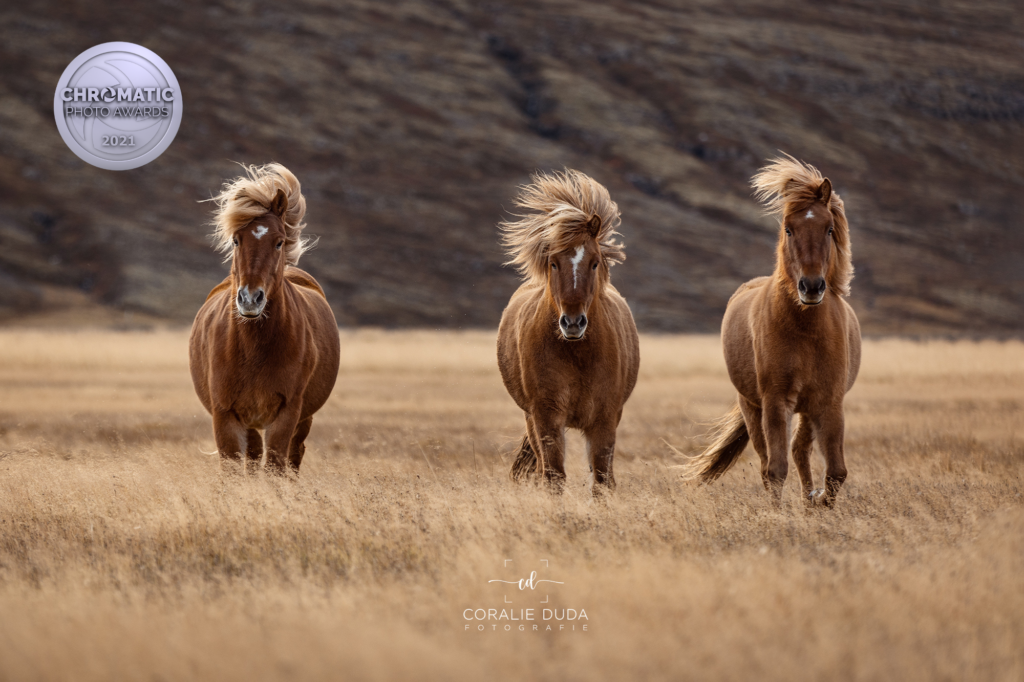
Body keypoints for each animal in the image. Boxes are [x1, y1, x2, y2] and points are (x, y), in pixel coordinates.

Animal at [188, 163, 339, 473]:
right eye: (236, 240)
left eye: (279, 242)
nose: (250, 299)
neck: (253, 349)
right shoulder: (225, 415)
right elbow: (233, 469)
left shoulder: (287, 414)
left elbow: (276, 467)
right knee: (254, 456)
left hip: (303, 419)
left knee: (293, 456)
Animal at [497, 167, 638, 491]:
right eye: (553, 263)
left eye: (595, 263)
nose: (572, 322)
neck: (579, 355)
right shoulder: (546, 417)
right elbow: (554, 477)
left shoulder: (604, 419)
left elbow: (601, 479)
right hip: (531, 417)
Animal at [684, 153, 860, 503]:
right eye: (789, 229)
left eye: (829, 229)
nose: (811, 287)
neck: (806, 330)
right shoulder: (776, 402)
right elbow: (775, 470)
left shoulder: (829, 403)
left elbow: (836, 472)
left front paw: (818, 503)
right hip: (752, 406)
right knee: (771, 461)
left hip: (805, 410)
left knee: (800, 451)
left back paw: (809, 498)